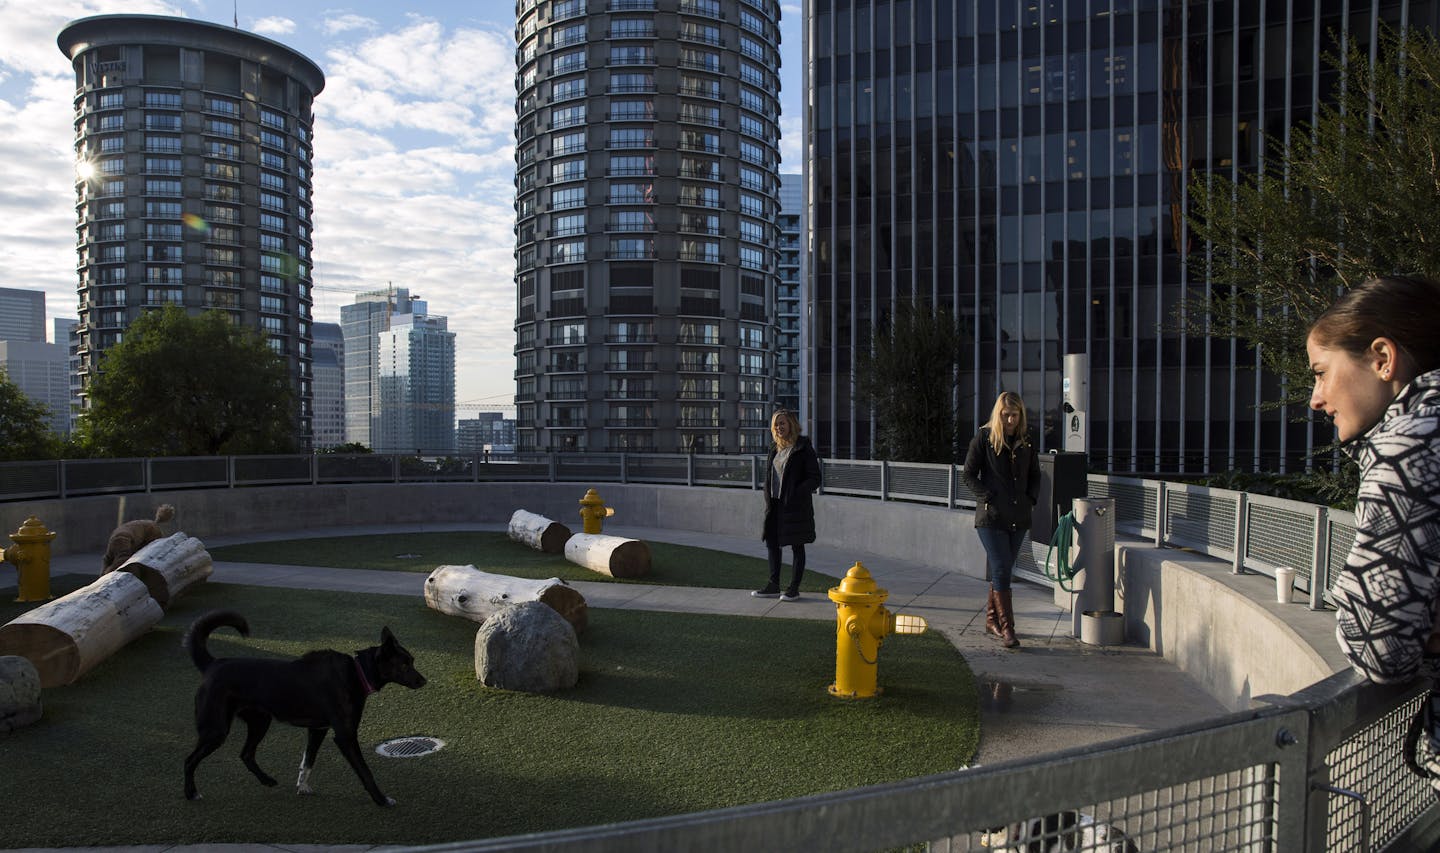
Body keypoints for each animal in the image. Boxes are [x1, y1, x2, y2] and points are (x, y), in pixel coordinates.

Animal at [182, 610, 423, 801]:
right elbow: (365, 771)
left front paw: (302, 786)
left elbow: (308, 760)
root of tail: (212, 664)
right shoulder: (345, 736)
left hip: (260, 721)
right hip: (217, 729)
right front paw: (381, 800)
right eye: (404, 665)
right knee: (189, 760)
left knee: (246, 754)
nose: (424, 681)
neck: (356, 672)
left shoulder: (318, 729)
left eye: (411, 661)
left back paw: (266, 780)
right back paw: (191, 793)